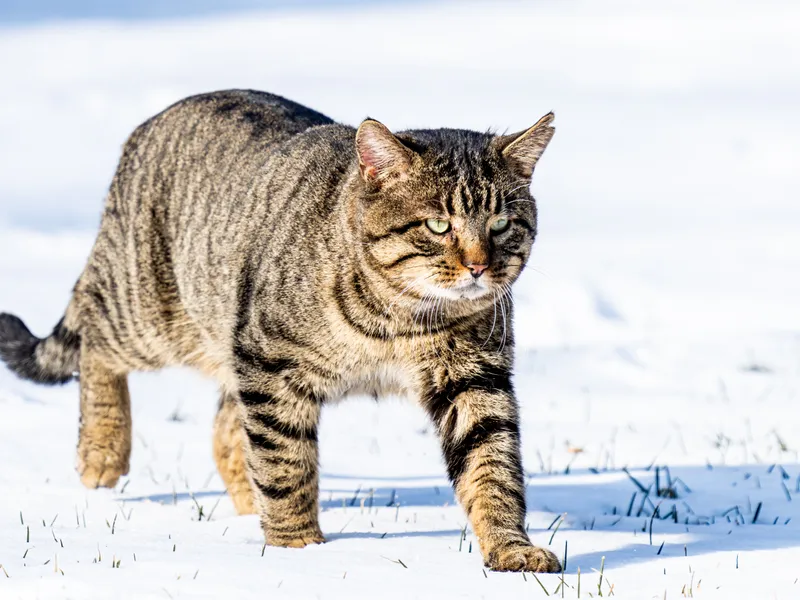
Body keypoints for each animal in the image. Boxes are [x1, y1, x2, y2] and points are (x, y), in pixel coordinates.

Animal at [0, 89, 560, 572]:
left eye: (502, 224)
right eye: (439, 225)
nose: (480, 266)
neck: (397, 321)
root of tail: (150, 124)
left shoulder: (475, 378)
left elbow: (492, 466)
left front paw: (511, 548)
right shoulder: (272, 365)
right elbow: (286, 462)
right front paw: (298, 549)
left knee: (227, 432)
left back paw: (247, 502)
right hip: (146, 311)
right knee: (95, 340)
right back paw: (102, 452)